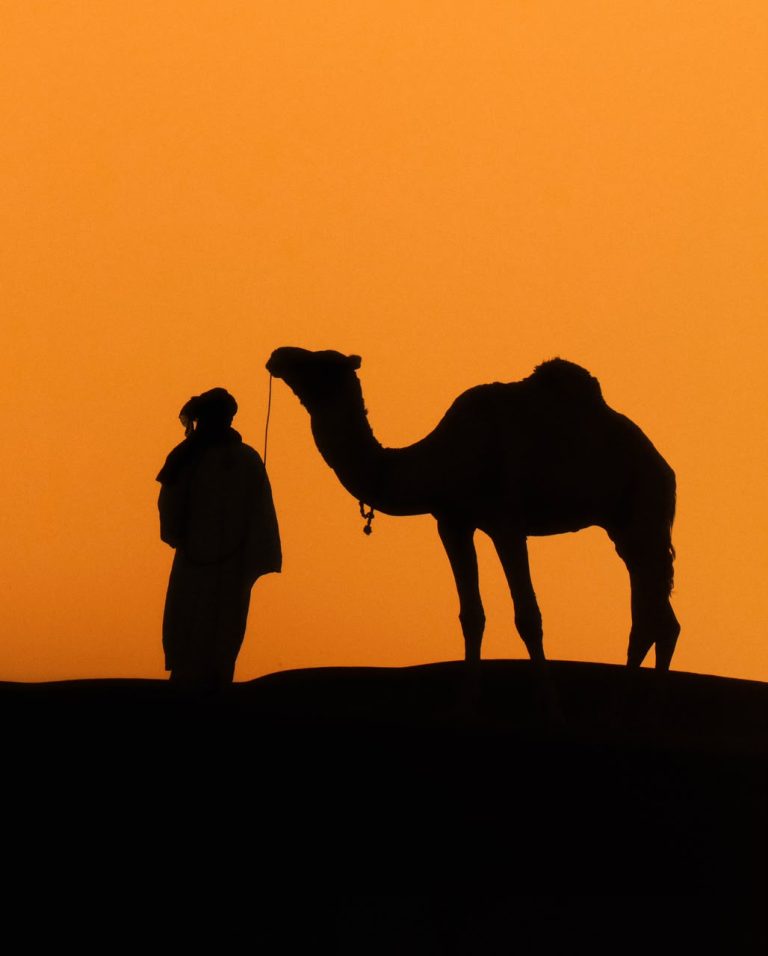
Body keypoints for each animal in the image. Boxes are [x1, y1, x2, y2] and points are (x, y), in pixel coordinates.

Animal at [266, 347, 680, 671]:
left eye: (322, 363)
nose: (278, 356)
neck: (444, 458)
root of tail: (665, 466)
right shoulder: (453, 522)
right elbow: (471, 617)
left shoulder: (507, 522)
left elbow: (529, 617)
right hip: (624, 525)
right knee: (655, 618)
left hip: (645, 507)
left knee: (655, 617)